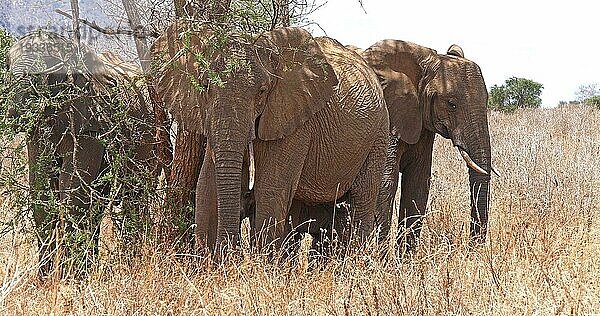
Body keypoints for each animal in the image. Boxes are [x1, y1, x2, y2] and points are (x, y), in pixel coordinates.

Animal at [5, 29, 158, 276]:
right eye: (7, 65)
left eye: (48, 66)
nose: (13, 114)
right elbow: (40, 188)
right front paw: (46, 278)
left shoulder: (91, 118)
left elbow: (73, 191)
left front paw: (70, 277)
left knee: (133, 193)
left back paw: (133, 261)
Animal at [151, 22, 390, 254]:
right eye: (205, 85)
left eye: (263, 91)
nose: (229, 252)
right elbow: (207, 186)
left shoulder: (294, 121)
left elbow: (269, 191)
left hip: (379, 135)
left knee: (362, 199)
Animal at [356, 40, 492, 252]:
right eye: (451, 104)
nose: (471, 251)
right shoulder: (389, 114)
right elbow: (386, 181)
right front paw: (380, 257)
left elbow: (418, 183)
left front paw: (405, 258)